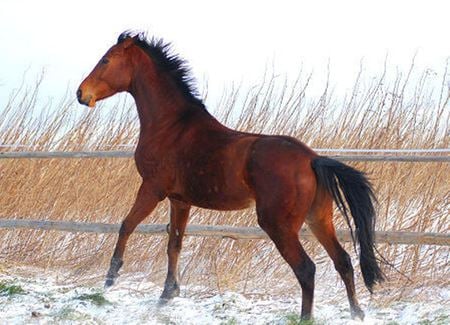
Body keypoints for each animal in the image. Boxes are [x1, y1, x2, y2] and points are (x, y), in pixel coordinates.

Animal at [76, 31, 384, 320]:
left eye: (106, 60)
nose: (81, 94)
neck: (171, 126)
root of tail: (312, 159)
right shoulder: (180, 200)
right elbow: (174, 243)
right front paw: (167, 295)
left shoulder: (153, 189)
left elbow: (126, 225)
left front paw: (111, 277)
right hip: (318, 218)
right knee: (343, 260)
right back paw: (357, 313)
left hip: (278, 225)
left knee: (306, 269)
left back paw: (306, 317)